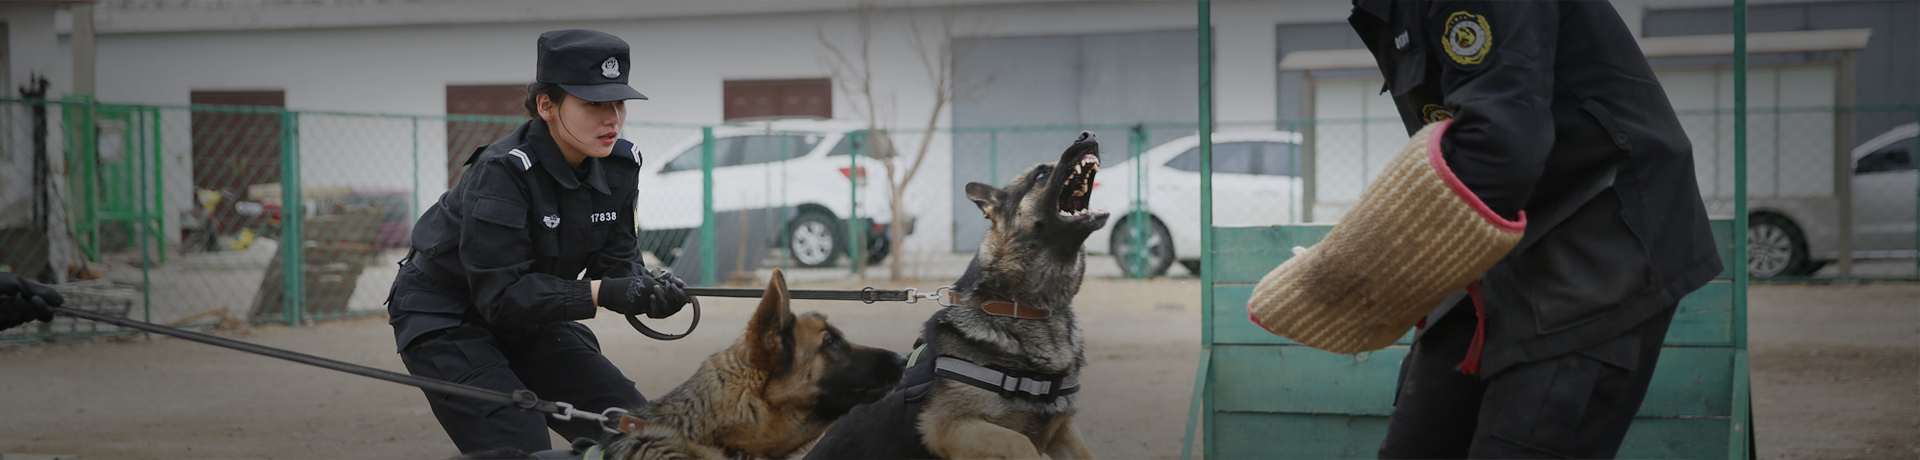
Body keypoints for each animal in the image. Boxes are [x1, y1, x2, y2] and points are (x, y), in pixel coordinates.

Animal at [806, 131, 1113, 458]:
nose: (1087, 136)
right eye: (1040, 174)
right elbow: (1021, 442)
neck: (1021, 309)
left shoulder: (1064, 431)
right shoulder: (949, 428)